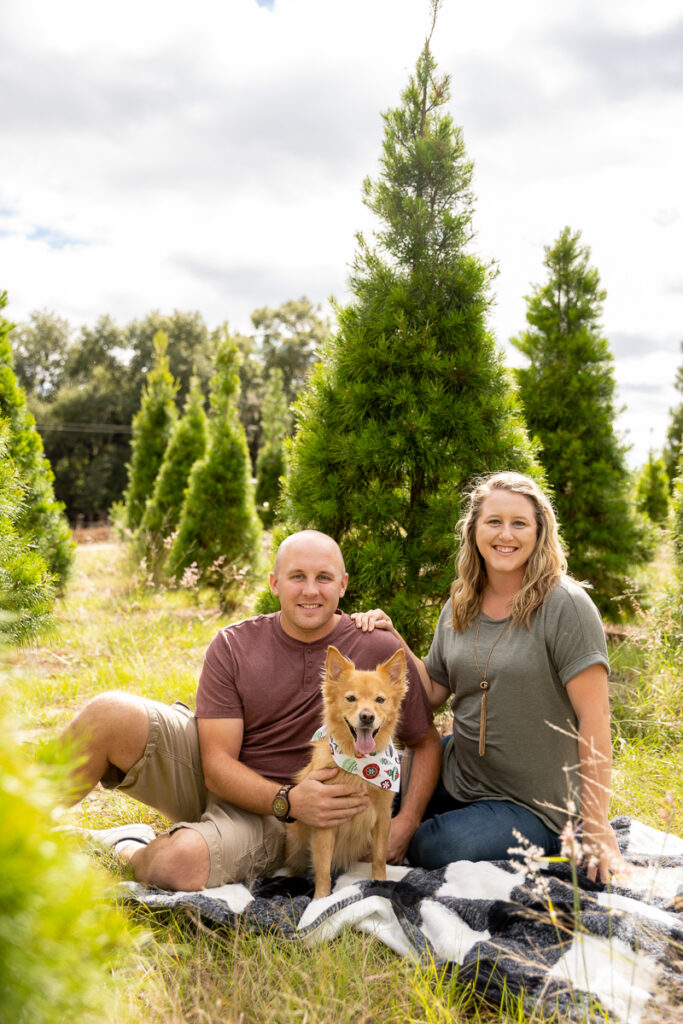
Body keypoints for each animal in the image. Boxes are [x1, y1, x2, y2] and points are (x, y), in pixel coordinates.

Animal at [286, 643, 409, 901]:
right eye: (351, 698)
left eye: (380, 699)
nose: (367, 716)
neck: (361, 768)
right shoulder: (325, 822)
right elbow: (323, 868)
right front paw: (320, 900)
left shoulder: (383, 817)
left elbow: (380, 858)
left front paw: (379, 883)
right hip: (294, 843)